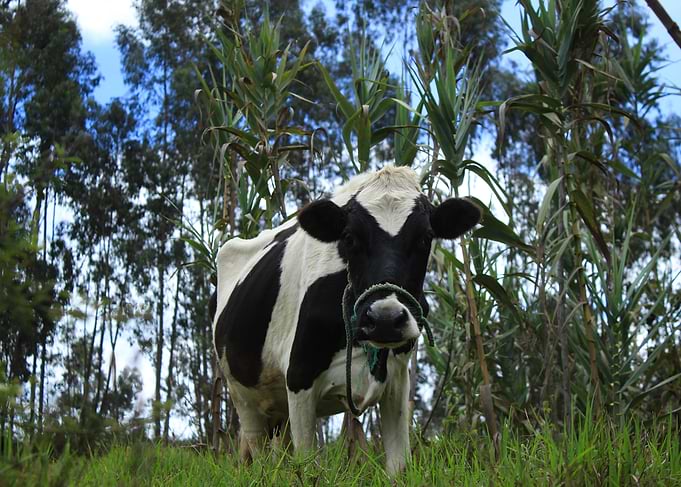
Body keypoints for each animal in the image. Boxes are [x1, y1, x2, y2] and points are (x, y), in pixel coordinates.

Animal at [211, 166, 480, 474]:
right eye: (350, 238)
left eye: (425, 238)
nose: (385, 318)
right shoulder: (299, 376)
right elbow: (308, 468)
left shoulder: (398, 383)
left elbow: (398, 466)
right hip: (242, 395)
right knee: (258, 451)